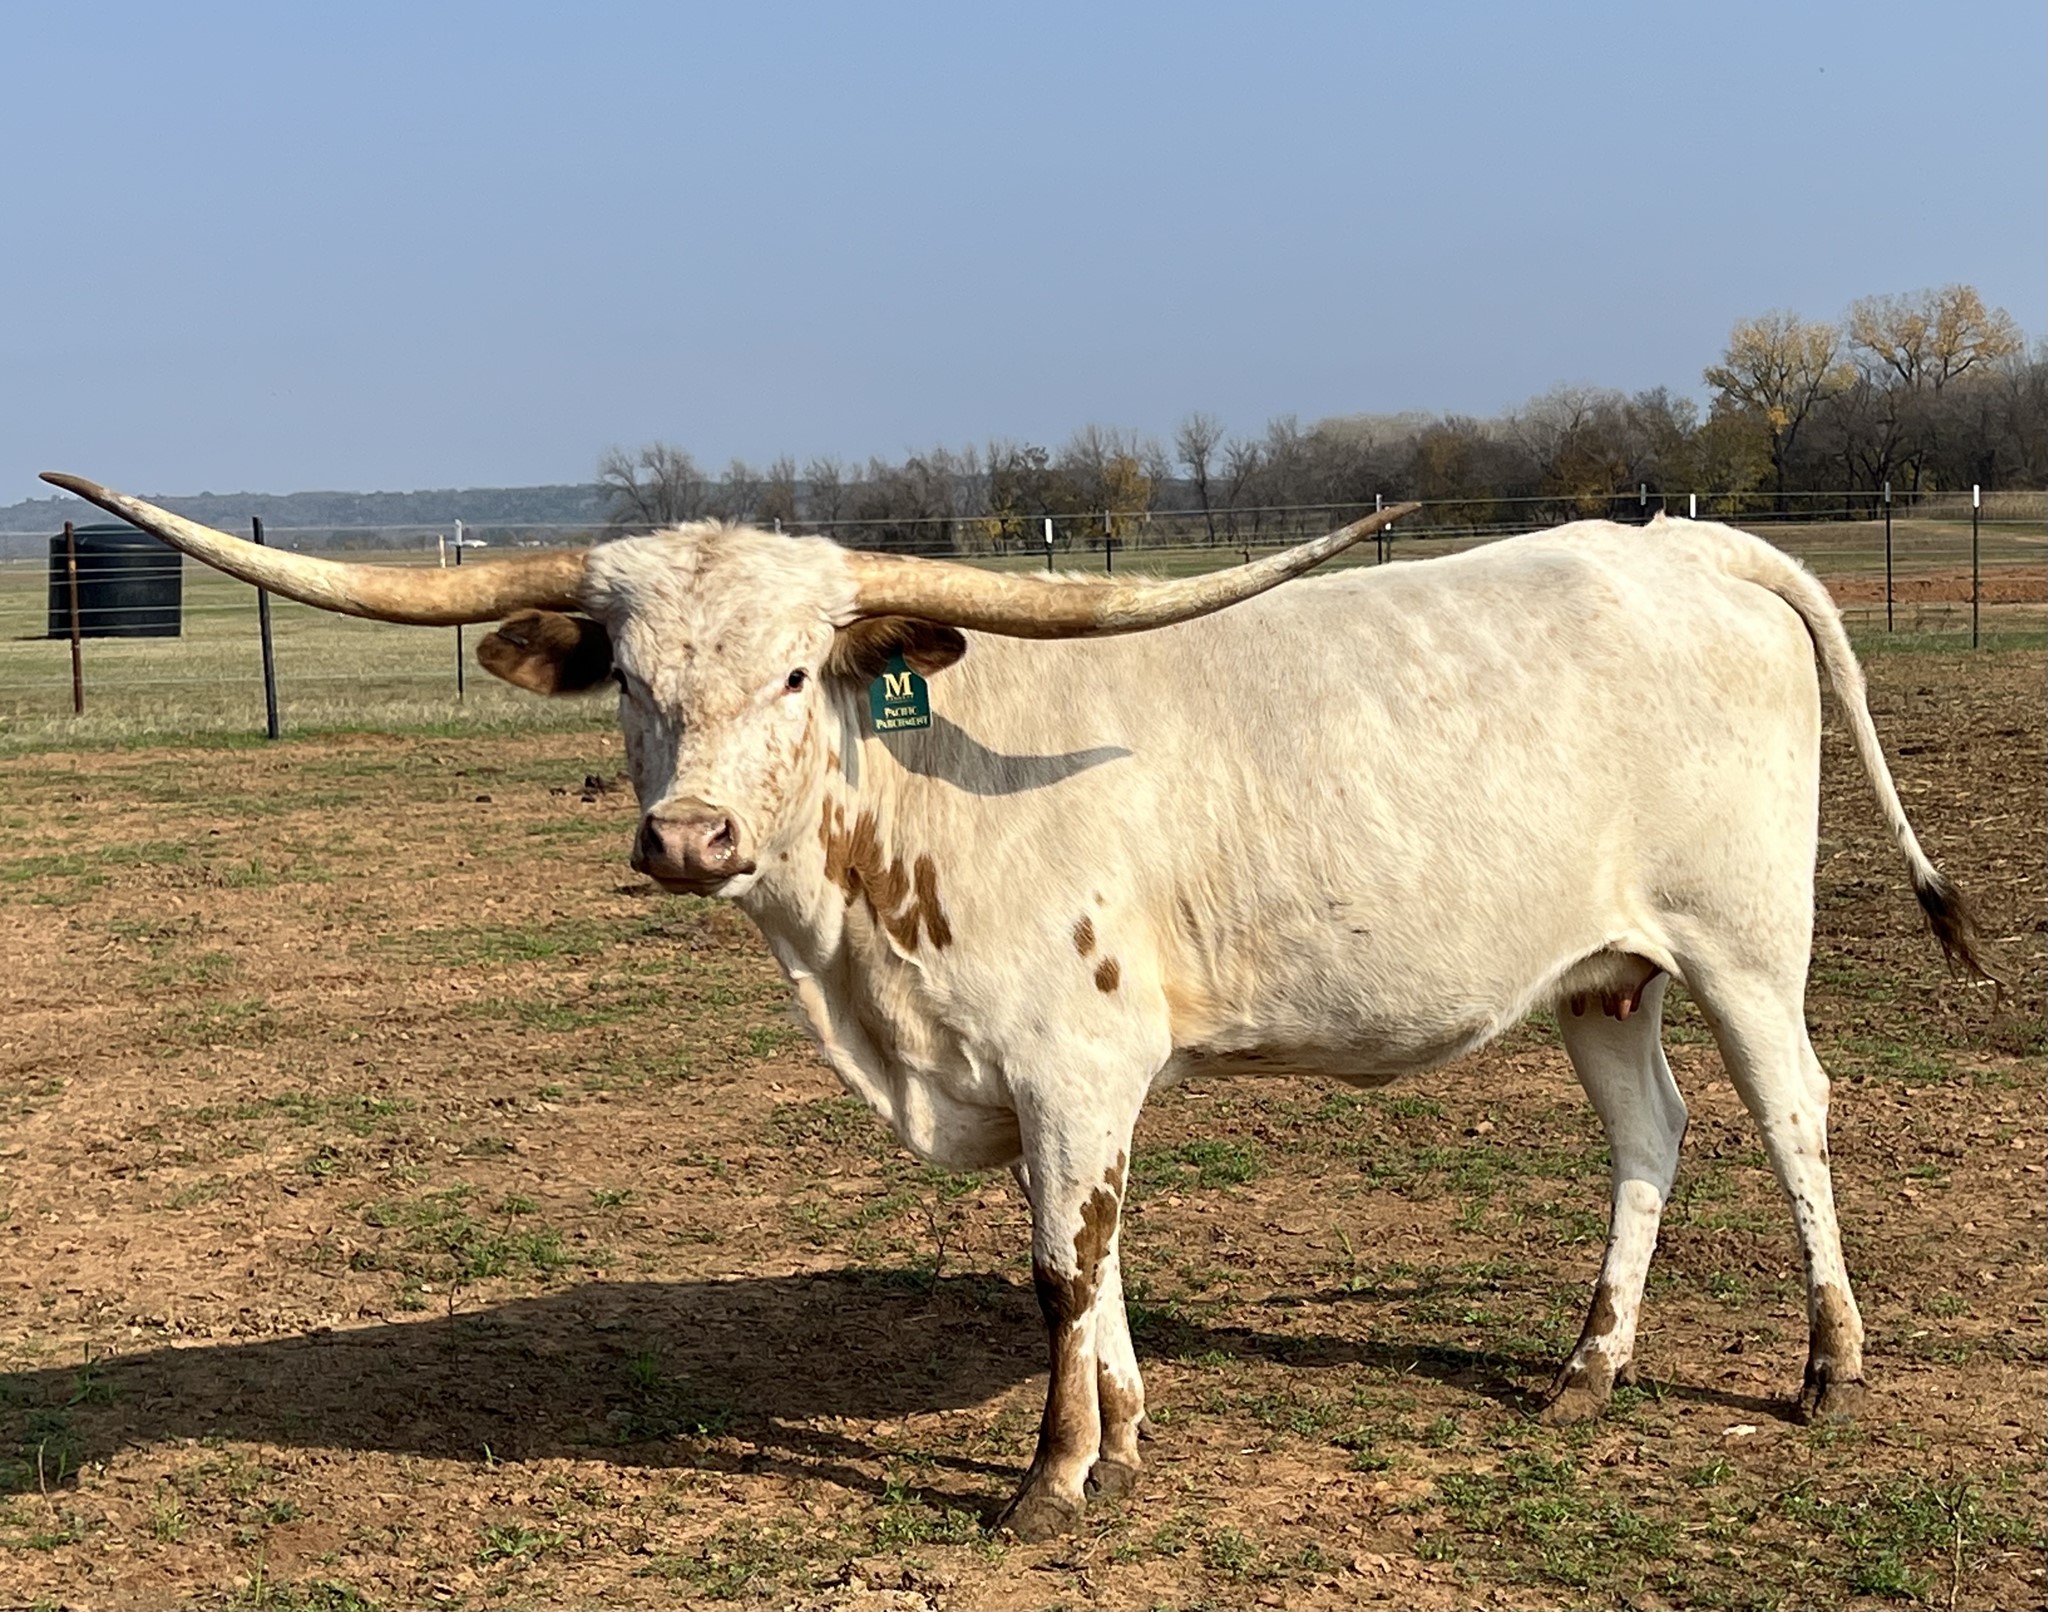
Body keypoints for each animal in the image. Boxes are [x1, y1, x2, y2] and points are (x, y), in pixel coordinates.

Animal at [44, 472, 1987, 1540]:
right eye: (634, 683)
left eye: (795, 672)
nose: (686, 838)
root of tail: (1694, 549)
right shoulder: (1042, 1077)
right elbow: (1086, 1260)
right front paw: (1121, 1434)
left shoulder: (1073, 1058)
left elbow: (1063, 1267)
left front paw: (1050, 1482)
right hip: (1603, 972)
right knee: (1650, 1137)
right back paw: (1587, 1365)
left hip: (1743, 942)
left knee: (1793, 1116)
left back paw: (1827, 1367)